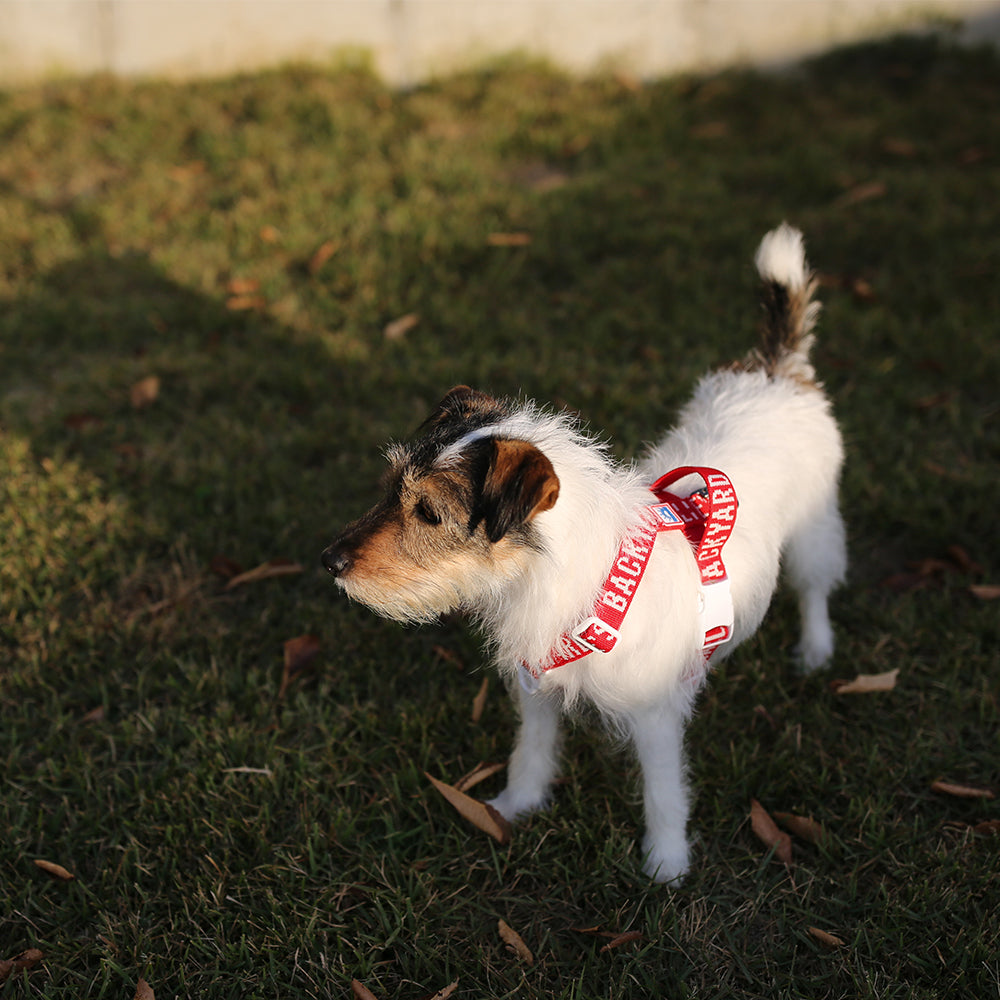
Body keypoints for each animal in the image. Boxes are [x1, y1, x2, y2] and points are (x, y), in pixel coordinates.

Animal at [320, 227, 844, 884]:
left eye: (429, 513)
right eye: (390, 487)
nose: (328, 560)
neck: (576, 584)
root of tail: (776, 370)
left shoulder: (655, 718)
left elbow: (664, 793)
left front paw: (666, 865)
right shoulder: (536, 691)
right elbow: (531, 755)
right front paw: (511, 809)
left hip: (815, 529)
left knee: (816, 585)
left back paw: (816, 649)